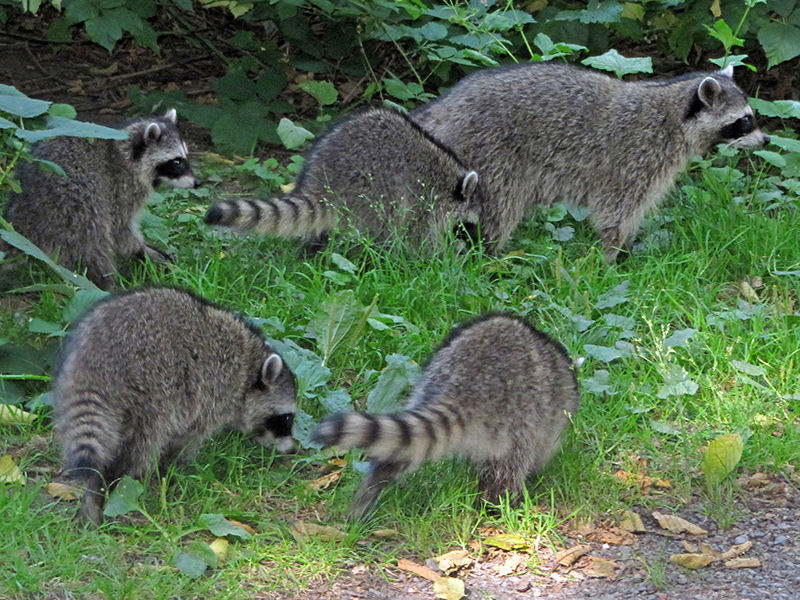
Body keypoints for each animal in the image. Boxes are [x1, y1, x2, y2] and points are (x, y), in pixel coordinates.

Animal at [1, 109, 200, 288]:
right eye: (176, 162)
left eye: (186, 157)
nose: (198, 183)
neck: (125, 151)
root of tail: (22, 219)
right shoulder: (121, 188)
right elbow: (121, 230)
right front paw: (142, 249)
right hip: (73, 206)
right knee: (92, 246)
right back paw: (103, 284)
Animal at [53, 286, 296, 524]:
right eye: (285, 418)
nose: (292, 450)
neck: (250, 367)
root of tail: (98, 354)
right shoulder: (214, 392)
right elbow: (187, 438)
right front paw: (174, 468)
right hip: (151, 388)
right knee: (144, 442)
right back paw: (118, 483)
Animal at [203, 105, 484, 251]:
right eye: (468, 225)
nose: (475, 246)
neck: (449, 175)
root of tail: (326, 183)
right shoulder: (424, 197)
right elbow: (420, 236)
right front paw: (441, 255)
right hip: (377, 189)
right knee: (386, 222)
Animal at [310, 314, 580, 520]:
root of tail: (468, 383)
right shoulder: (546, 421)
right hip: (520, 413)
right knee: (508, 467)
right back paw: (499, 504)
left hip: (429, 381)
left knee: (400, 451)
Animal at [412, 63, 768, 264]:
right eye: (744, 121)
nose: (765, 140)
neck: (671, 109)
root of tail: (441, 110)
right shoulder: (635, 156)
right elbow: (616, 211)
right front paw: (611, 255)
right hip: (492, 155)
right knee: (499, 208)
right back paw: (487, 257)